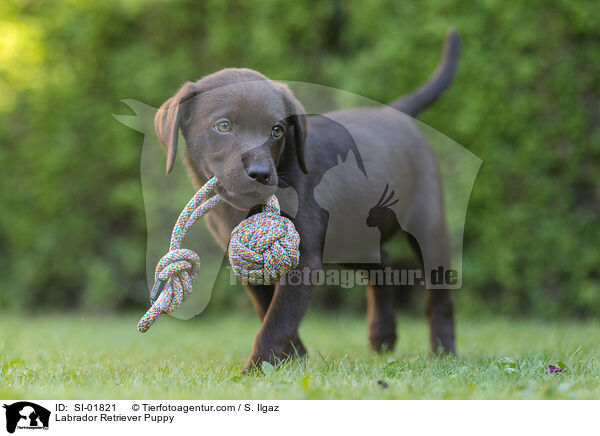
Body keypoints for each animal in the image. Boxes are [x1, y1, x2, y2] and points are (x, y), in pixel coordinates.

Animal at [154, 29, 460, 370]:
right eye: (223, 126)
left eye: (277, 130)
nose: (261, 174)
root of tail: (393, 113)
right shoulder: (246, 257)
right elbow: (267, 309)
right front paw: (292, 356)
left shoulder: (304, 257)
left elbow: (279, 317)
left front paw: (258, 366)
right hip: (349, 238)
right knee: (381, 265)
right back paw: (382, 336)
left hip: (427, 225)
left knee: (438, 295)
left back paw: (443, 349)